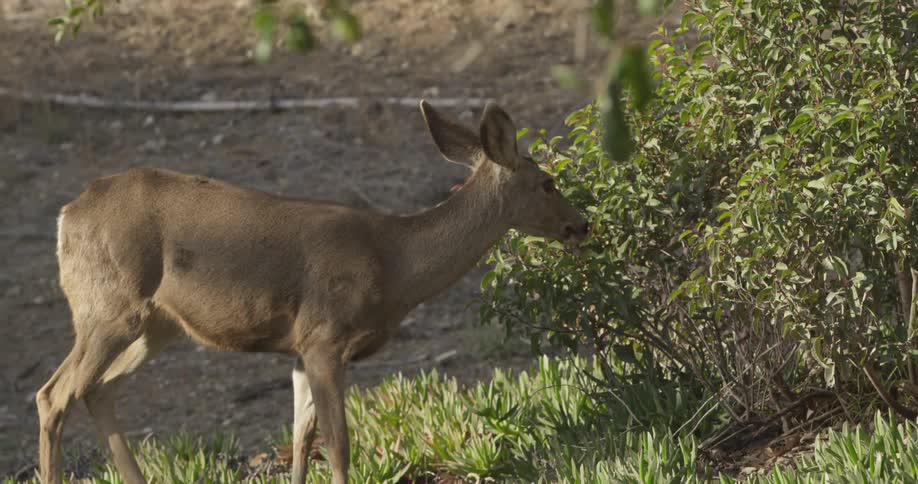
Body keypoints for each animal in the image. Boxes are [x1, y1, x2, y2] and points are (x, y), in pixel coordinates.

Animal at [36, 100, 589, 484]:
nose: (581, 225)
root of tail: (66, 216)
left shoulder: (300, 349)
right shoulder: (325, 336)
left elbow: (301, 440)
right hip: (109, 307)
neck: (396, 264)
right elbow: (338, 444)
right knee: (54, 393)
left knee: (97, 389)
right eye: (548, 183)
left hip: (158, 324)